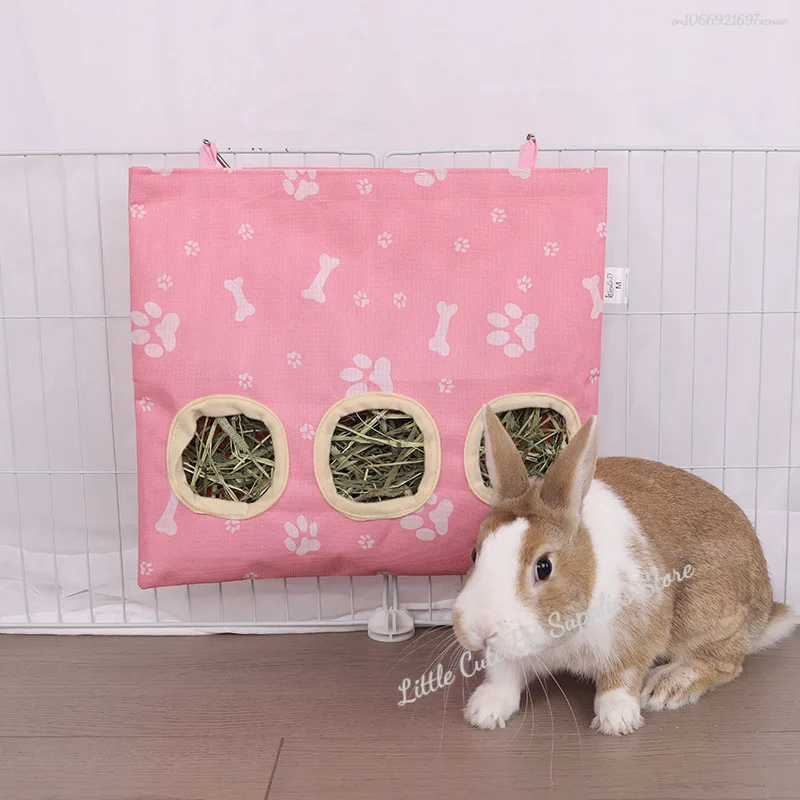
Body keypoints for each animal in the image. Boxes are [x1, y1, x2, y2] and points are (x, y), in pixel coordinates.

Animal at [452, 406, 795, 735]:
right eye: (474, 553)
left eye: (544, 566)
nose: (481, 628)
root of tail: (764, 613)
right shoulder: (509, 656)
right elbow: (503, 677)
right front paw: (483, 712)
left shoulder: (637, 630)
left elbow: (622, 677)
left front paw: (617, 720)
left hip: (705, 612)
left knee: (727, 662)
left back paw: (667, 686)